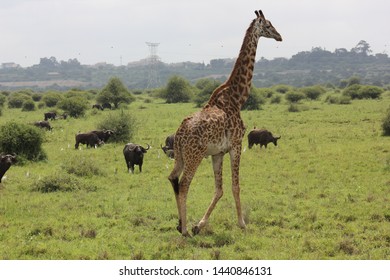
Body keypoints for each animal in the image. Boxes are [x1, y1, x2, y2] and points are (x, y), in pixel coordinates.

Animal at [169, 9, 282, 236]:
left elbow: (219, 189)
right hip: (194, 156)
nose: (279, 36)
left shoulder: (217, 153)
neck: (237, 97)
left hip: (180, 156)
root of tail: (180, 133)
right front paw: (242, 223)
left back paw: (180, 224)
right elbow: (235, 186)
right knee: (184, 184)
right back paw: (184, 230)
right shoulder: (236, 145)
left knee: (173, 178)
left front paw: (200, 224)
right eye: (268, 25)